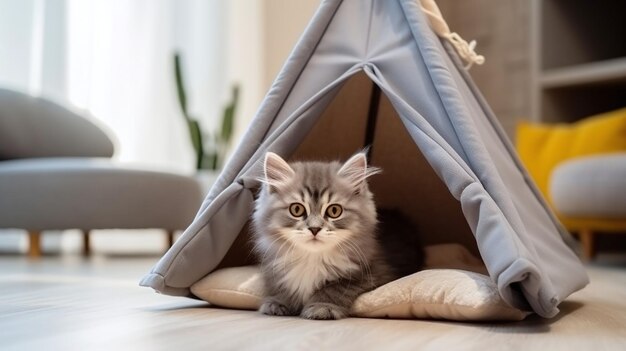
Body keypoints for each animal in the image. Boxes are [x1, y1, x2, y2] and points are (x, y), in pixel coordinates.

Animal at [251, 151, 422, 322]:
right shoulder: (274, 269)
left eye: (334, 211)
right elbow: (281, 286)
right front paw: (278, 302)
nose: (314, 228)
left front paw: (321, 307)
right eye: (297, 209)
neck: (312, 258)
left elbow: (335, 288)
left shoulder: (374, 273)